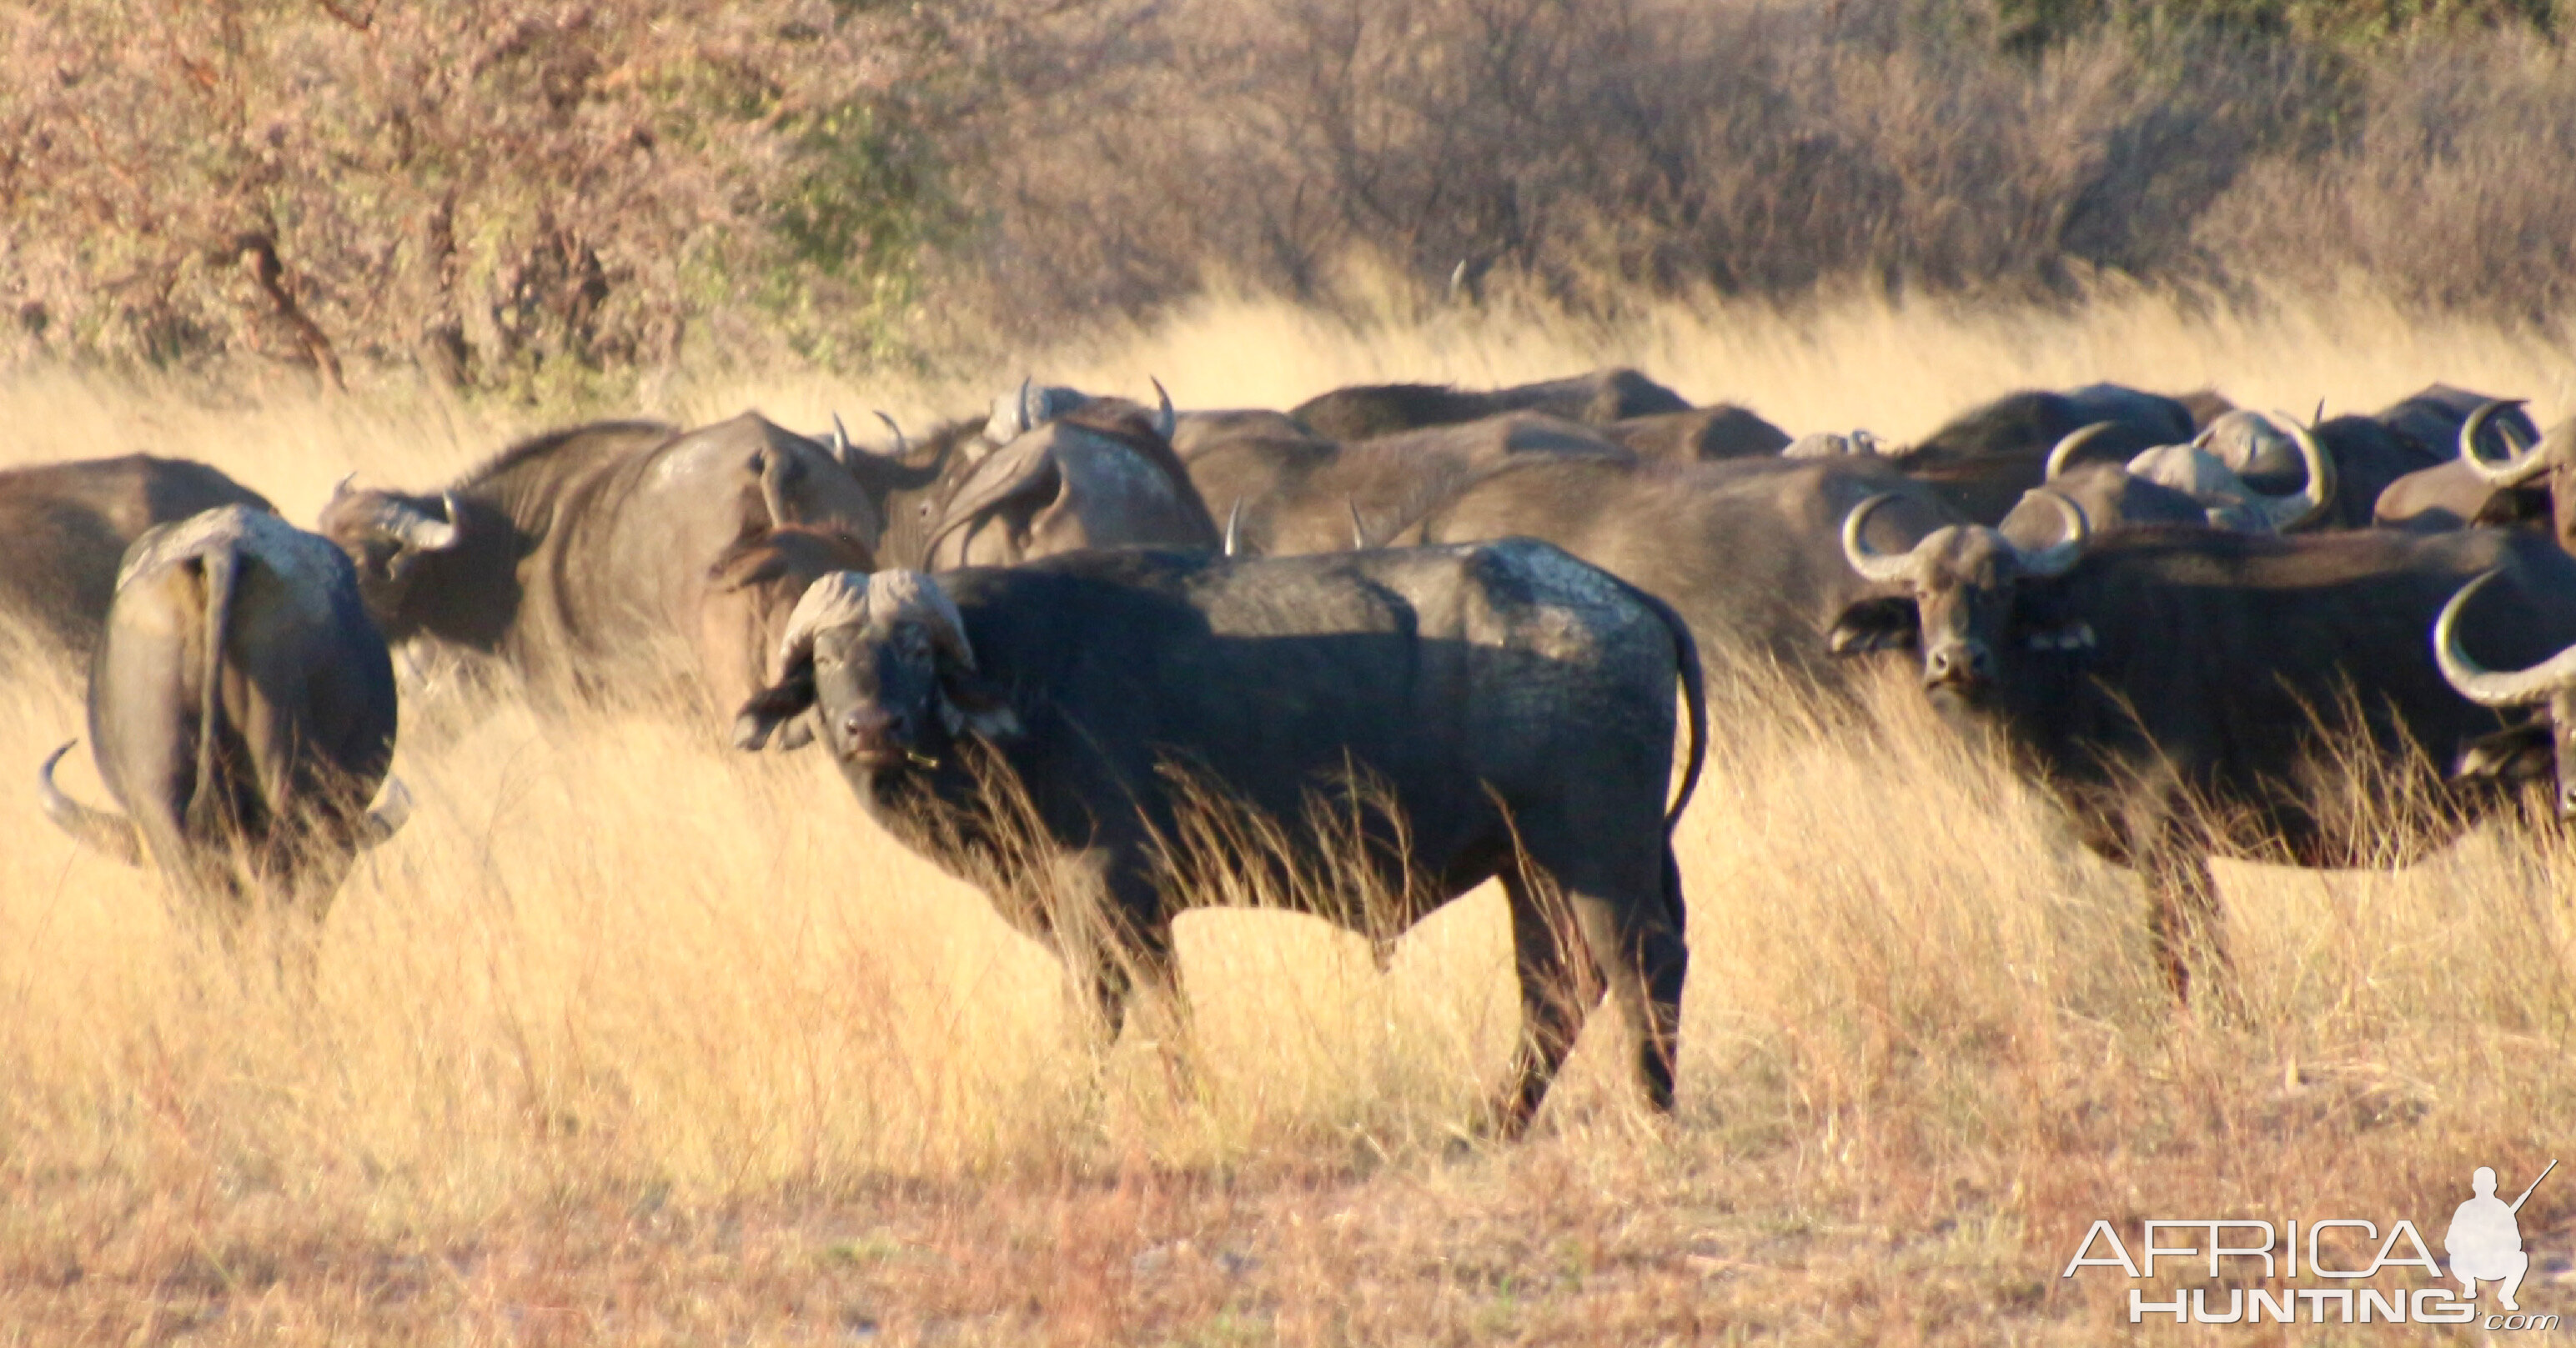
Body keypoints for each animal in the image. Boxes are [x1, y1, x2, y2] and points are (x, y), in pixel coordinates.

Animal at [736, 544, 1700, 1134]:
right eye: (825, 658)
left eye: (915, 650)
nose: (871, 726)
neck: (1022, 685)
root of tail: (1629, 600)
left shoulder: (1111, 894)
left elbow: (1127, 1010)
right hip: (1534, 869)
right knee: (1560, 986)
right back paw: (1493, 1121)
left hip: (1595, 856)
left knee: (1637, 966)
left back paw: (1650, 1111)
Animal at [1824, 502, 2576, 1000]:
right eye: (1922, 590)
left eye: (2003, 589)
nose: (1956, 660)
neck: (2082, 664)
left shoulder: (2169, 841)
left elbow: (2185, 954)